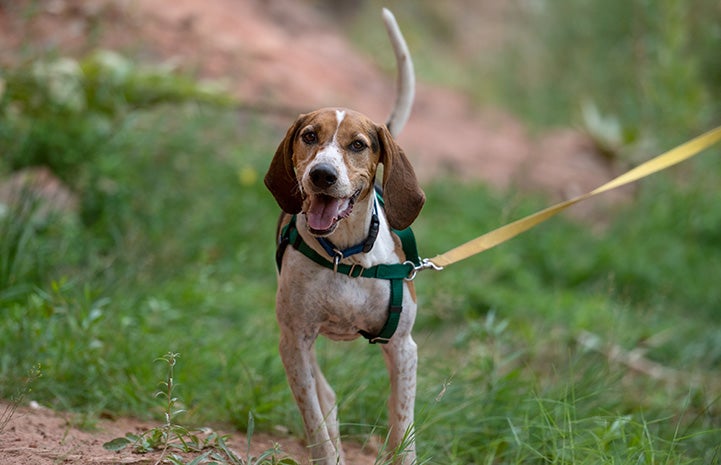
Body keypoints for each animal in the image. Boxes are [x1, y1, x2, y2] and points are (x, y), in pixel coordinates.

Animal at [262, 8, 422, 464]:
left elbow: (402, 429)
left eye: (358, 144)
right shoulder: (294, 341)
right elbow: (315, 421)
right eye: (309, 136)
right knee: (326, 396)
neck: (347, 257)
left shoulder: (403, 348)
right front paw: (328, 452)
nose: (322, 175)